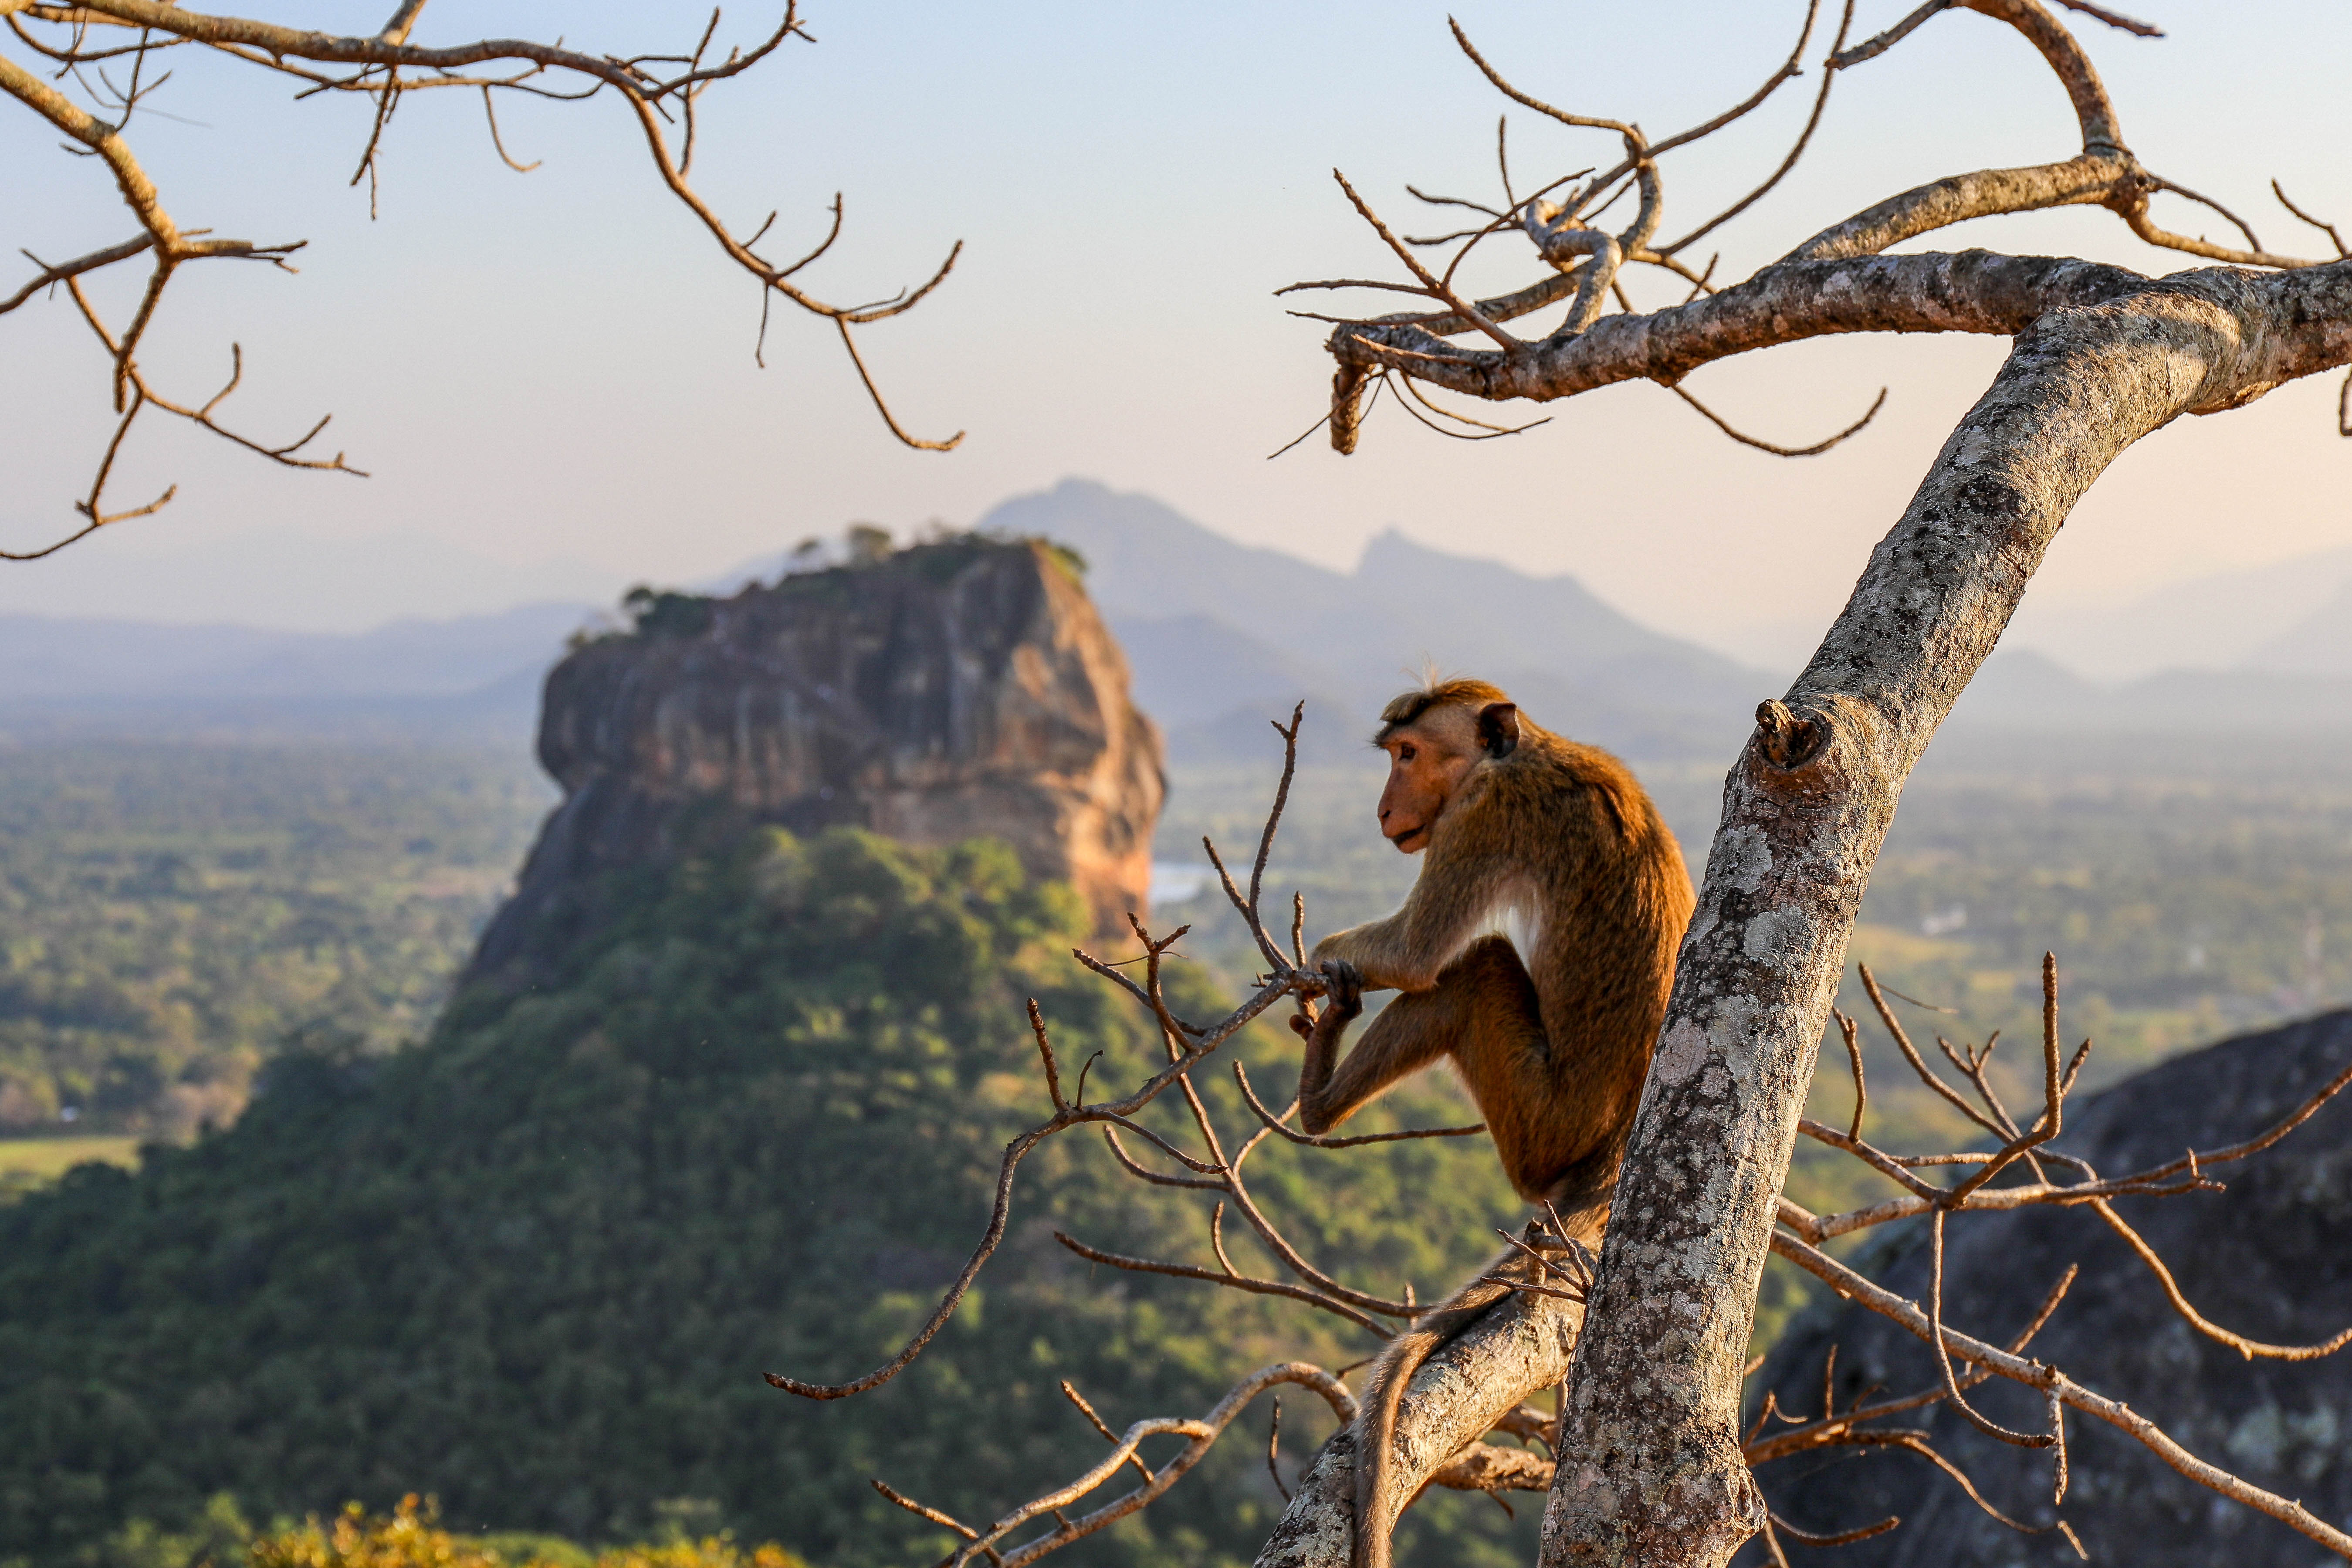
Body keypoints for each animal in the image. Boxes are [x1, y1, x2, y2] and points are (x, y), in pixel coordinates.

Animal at [1288, 678, 1694, 1568]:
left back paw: (1317, 1100)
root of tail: (1614, 1146)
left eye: (1409, 754)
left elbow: (1415, 953)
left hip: (1538, 1126)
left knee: (1470, 967)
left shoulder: (1480, 817)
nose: (1383, 808)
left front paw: (1325, 956)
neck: (1522, 754)